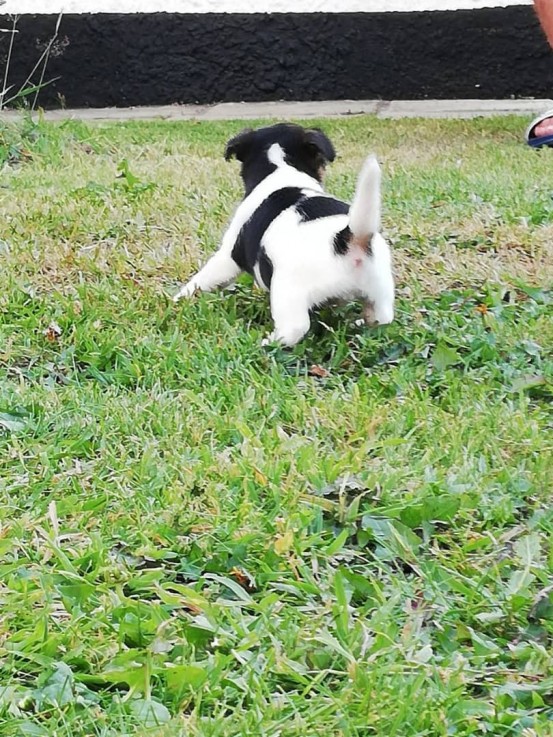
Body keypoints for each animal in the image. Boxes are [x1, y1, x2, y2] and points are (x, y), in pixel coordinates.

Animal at [172, 122, 392, 346]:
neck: (282, 169)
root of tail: (346, 239)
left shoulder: (228, 256)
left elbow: (203, 279)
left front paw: (179, 299)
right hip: (379, 294)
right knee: (381, 319)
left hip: (286, 294)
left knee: (294, 330)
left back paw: (266, 343)